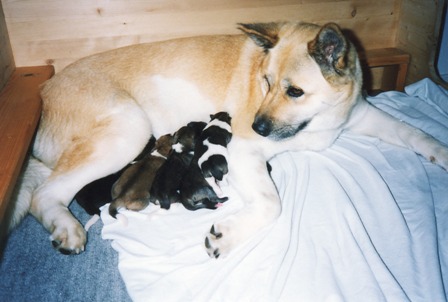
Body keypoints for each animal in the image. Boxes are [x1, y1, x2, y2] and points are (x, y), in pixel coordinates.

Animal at [9, 21, 448, 258]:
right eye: (266, 82)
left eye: (294, 91)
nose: (255, 125)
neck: (318, 123)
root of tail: (45, 92)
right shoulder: (244, 152)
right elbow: (272, 204)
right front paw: (229, 235)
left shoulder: (361, 114)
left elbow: (413, 131)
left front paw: (439, 150)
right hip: (127, 130)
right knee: (43, 195)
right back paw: (67, 228)